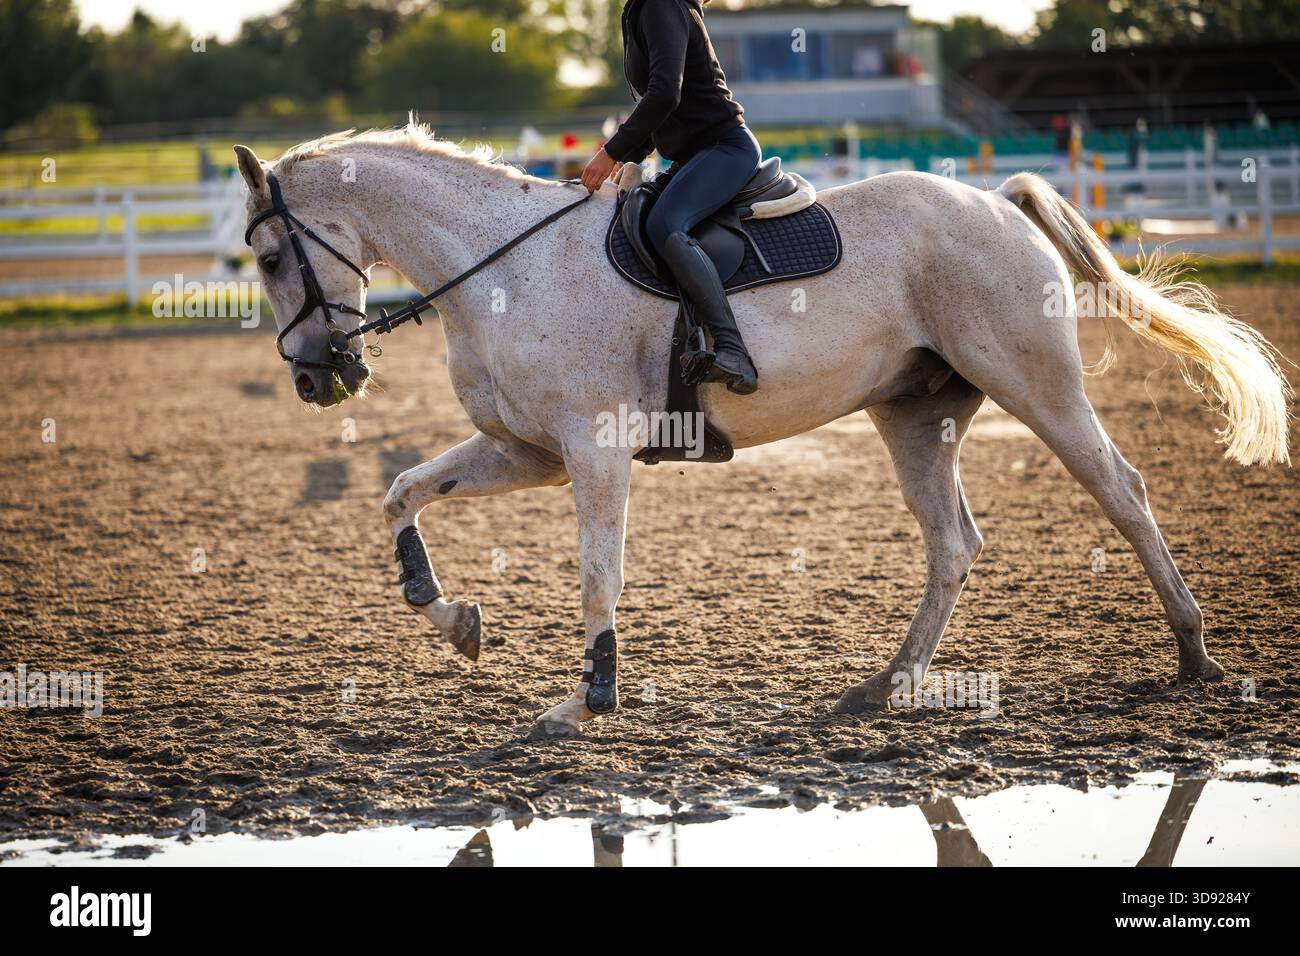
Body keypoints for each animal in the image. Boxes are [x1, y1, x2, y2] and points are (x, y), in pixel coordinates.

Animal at [232, 122, 1291, 739]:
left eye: (275, 256)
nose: (316, 378)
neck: (501, 268)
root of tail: (994, 201)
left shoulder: (591, 449)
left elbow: (597, 575)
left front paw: (587, 699)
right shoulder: (528, 453)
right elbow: (401, 493)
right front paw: (453, 619)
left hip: (1036, 386)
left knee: (1121, 490)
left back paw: (1194, 654)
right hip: (918, 413)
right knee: (954, 544)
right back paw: (883, 686)